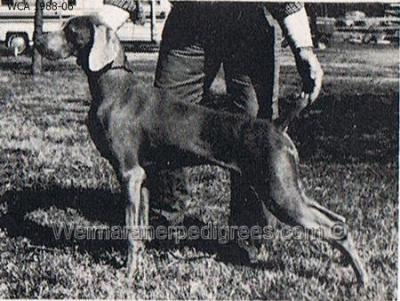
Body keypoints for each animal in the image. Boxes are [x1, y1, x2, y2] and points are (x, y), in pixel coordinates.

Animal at [36, 15, 368, 284]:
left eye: (70, 30)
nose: (37, 40)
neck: (113, 86)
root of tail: (277, 125)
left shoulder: (128, 172)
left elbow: (130, 231)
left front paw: (127, 274)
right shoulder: (143, 177)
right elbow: (140, 229)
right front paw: (139, 266)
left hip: (279, 193)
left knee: (333, 227)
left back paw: (362, 279)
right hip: (288, 186)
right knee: (339, 221)